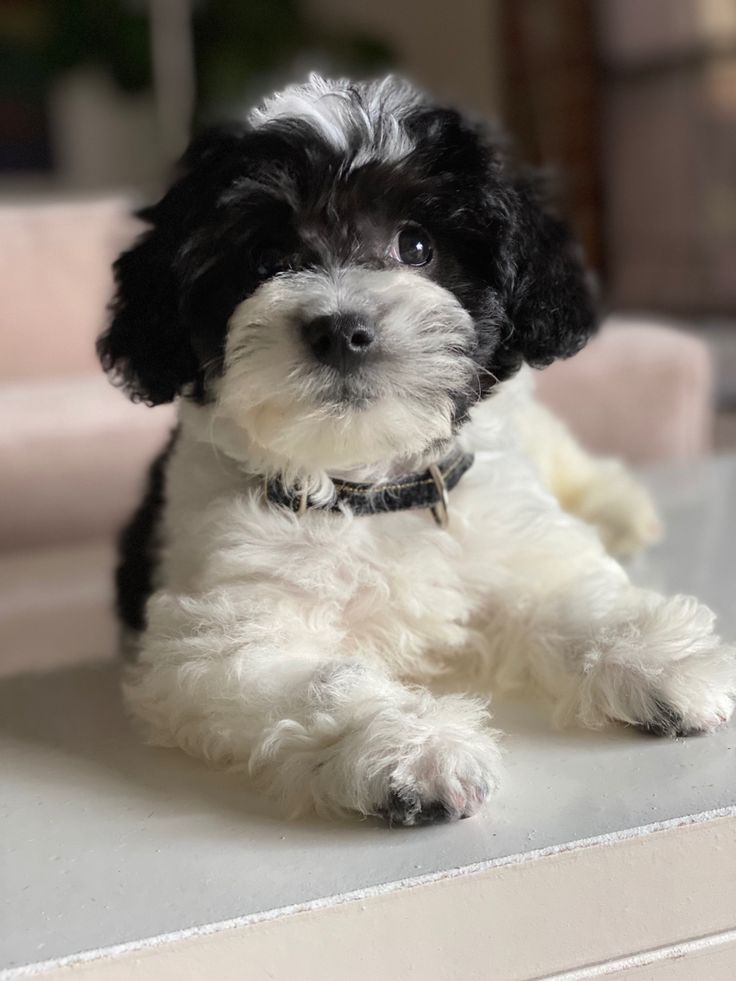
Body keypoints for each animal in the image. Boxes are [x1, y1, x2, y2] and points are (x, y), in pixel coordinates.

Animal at [99, 78, 736, 828]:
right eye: (263, 260)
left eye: (418, 244)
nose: (342, 329)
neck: (371, 488)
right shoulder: (221, 633)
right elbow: (324, 678)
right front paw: (411, 748)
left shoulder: (507, 534)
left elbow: (572, 597)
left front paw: (663, 657)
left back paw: (616, 508)